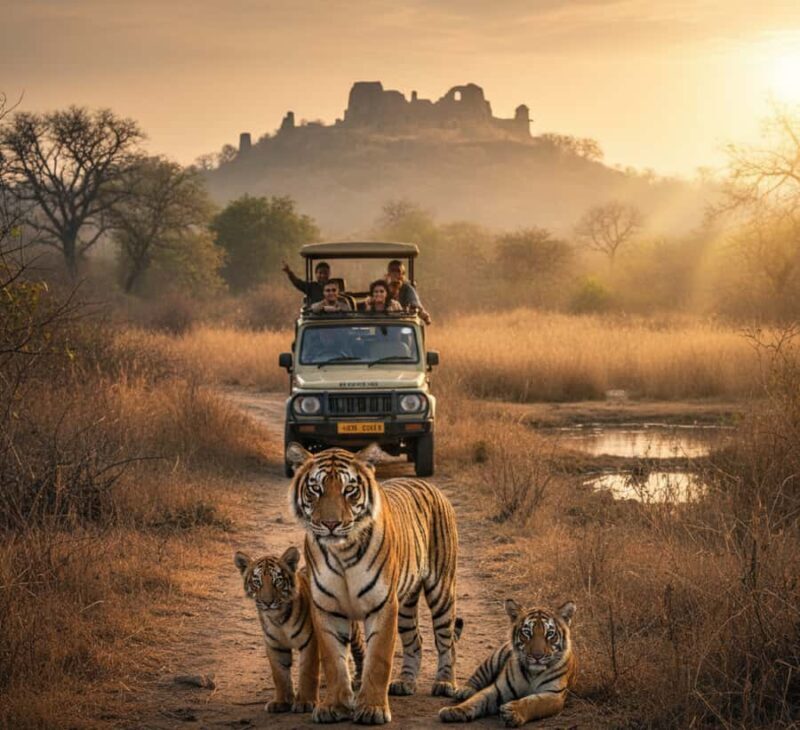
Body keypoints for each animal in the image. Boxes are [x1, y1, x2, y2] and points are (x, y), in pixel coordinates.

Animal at [234, 546, 365, 713]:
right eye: (257, 582)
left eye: (278, 581)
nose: (267, 602)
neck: (278, 618)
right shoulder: (274, 645)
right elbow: (279, 675)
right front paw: (281, 702)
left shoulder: (310, 641)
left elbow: (308, 672)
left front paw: (305, 702)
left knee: (358, 649)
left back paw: (358, 679)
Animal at [286, 442, 460, 726]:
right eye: (316, 489)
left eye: (349, 490)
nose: (331, 524)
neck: (342, 552)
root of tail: (429, 485)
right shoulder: (326, 608)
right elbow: (334, 661)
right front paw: (333, 707)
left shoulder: (383, 605)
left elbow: (378, 659)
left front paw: (372, 709)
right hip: (406, 604)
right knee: (416, 639)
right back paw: (405, 682)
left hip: (441, 589)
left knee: (446, 640)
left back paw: (445, 683)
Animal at [439, 599, 576, 727]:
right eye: (527, 633)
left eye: (550, 634)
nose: (537, 656)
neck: (533, 673)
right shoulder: (499, 688)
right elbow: (476, 699)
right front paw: (454, 710)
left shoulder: (554, 695)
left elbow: (532, 702)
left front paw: (512, 711)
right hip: (494, 659)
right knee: (478, 675)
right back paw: (464, 690)